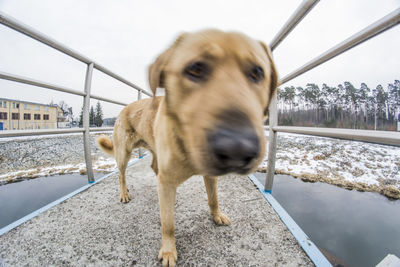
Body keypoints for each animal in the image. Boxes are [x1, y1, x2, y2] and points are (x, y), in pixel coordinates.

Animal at [97, 29, 278, 267]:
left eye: (257, 72)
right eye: (195, 69)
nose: (237, 146)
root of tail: (123, 109)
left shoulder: (209, 176)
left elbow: (213, 198)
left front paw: (216, 215)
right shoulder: (167, 182)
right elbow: (168, 224)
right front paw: (168, 250)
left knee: (155, 169)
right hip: (124, 153)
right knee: (121, 174)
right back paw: (124, 193)